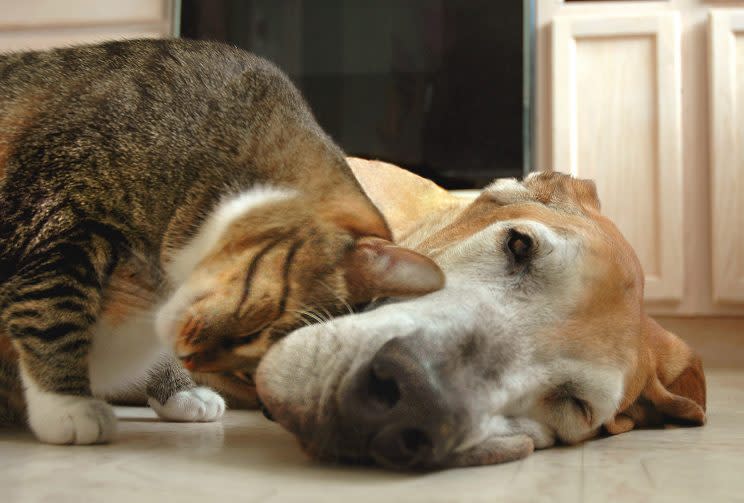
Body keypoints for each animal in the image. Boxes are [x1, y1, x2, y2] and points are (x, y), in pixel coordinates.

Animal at [0, 39, 442, 444]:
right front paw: (67, 404)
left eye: (249, 367)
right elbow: (52, 310)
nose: (191, 359)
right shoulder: (59, 210)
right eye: (257, 324)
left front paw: (179, 391)